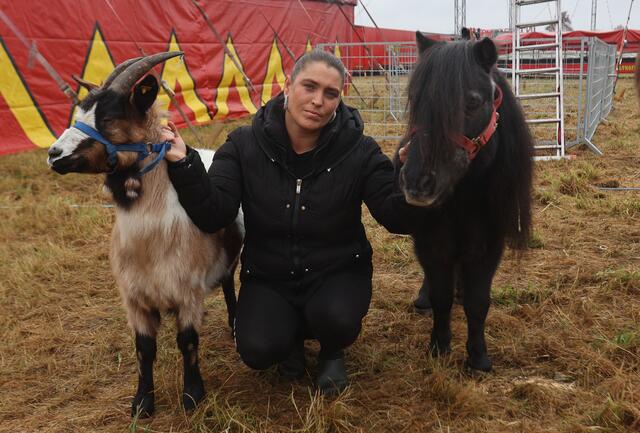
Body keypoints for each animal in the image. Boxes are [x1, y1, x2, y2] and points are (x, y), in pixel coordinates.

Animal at [46, 52, 244, 416]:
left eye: (110, 117)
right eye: (79, 112)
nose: (54, 155)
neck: (151, 242)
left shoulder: (187, 292)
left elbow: (188, 343)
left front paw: (192, 396)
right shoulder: (135, 299)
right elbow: (144, 349)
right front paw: (142, 403)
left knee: (229, 284)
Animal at [400, 32, 536, 370]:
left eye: (472, 102)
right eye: (415, 98)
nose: (417, 183)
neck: (463, 200)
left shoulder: (488, 248)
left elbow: (477, 303)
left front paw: (478, 357)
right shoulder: (432, 245)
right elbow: (441, 297)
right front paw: (439, 347)